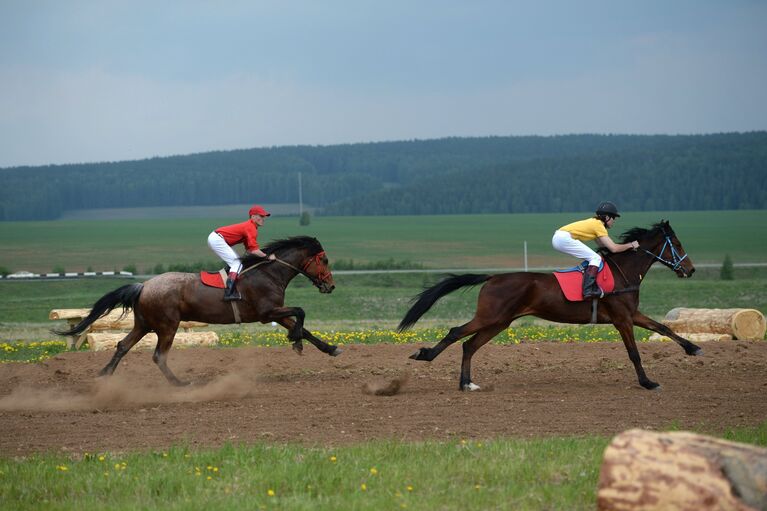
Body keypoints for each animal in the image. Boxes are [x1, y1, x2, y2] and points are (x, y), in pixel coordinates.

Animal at [57, 236, 340, 384]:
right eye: (325, 260)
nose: (331, 286)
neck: (269, 272)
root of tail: (144, 285)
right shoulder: (267, 313)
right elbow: (300, 313)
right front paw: (296, 342)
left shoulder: (275, 312)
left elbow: (303, 327)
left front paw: (328, 348)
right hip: (167, 326)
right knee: (158, 356)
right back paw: (180, 384)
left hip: (143, 324)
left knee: (122, 345)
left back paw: (105, 375)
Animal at [402, 220, 704, 392]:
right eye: (677, 244)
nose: (690, 270)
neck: (623, 273)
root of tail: (493, 277)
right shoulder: (622, 319)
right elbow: (634, 353)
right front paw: (647, 383)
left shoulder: (632, 314)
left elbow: (663, 327)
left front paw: (693, 348)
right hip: (491, 316)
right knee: (456, 332)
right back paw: (425, 355)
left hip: (500, 322)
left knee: (469, 345)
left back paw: (467, 383)